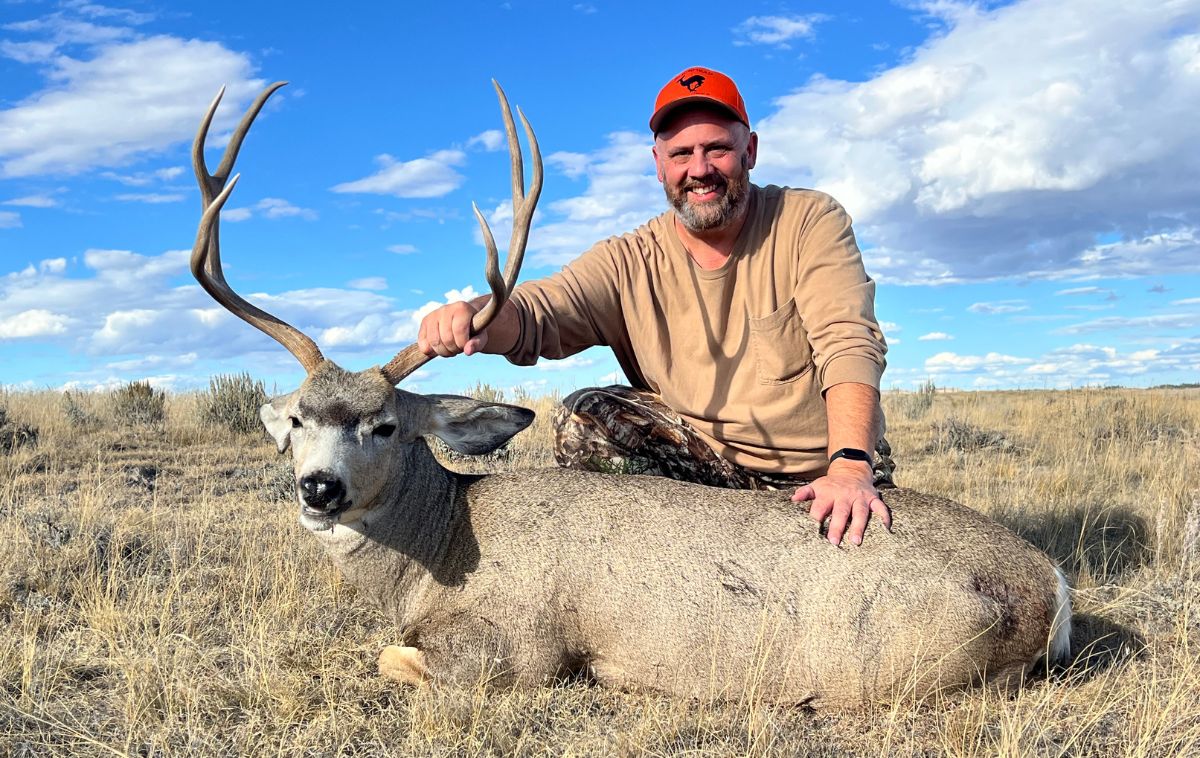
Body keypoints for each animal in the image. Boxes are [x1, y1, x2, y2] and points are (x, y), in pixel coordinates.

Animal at [189, 81, 1071, 709]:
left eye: (383, 427)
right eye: (295, 419)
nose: (320, 488)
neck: (439, 550)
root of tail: (1051, 584)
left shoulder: (521, 649)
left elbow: (389, 656)